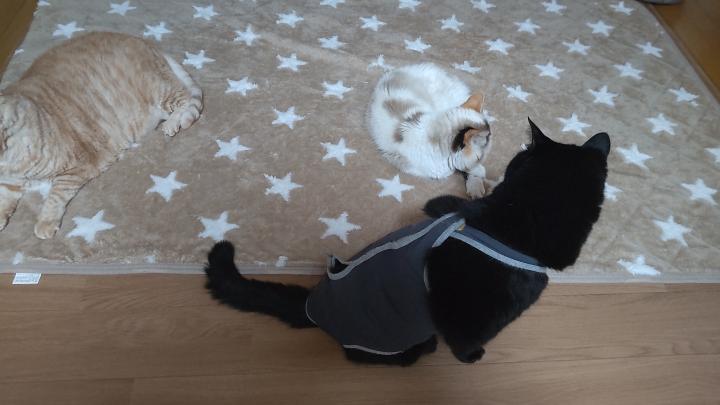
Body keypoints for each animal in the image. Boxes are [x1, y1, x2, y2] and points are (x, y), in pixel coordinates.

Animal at [0, 32, 202, 239]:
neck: (10, 165)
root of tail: (145, 42)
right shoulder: (8, 184)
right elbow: (4, 200)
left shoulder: (80, 165)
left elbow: (57, 193)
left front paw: (46, 222)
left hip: (159, 91)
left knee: (186, 98)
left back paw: (173, 123)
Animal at [204, 118, 610, 366]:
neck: (508, 223)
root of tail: (311, 306)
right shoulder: (462, 321)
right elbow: (464, 344)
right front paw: (474, 357)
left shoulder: (442, 205)